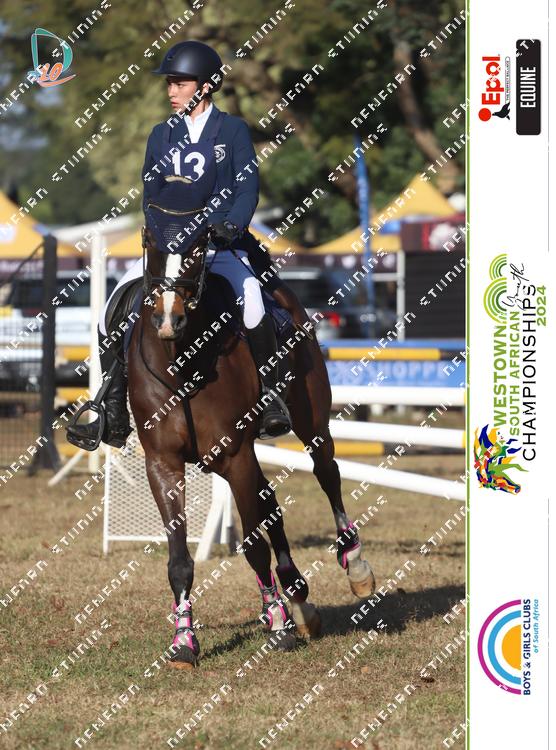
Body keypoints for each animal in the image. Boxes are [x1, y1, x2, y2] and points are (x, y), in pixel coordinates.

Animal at [127, 225, 376, 668]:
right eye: (152, 246)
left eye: (196, 250)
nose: (168, 319)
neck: (182, 362)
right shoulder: (164, 463)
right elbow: (179, 560)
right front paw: (184, 641)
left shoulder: (234, 455)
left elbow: (254, 546)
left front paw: (278, 626)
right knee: (271, 502)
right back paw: (298, 601)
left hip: (312, 423)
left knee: (326, 475)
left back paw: (352, 567)